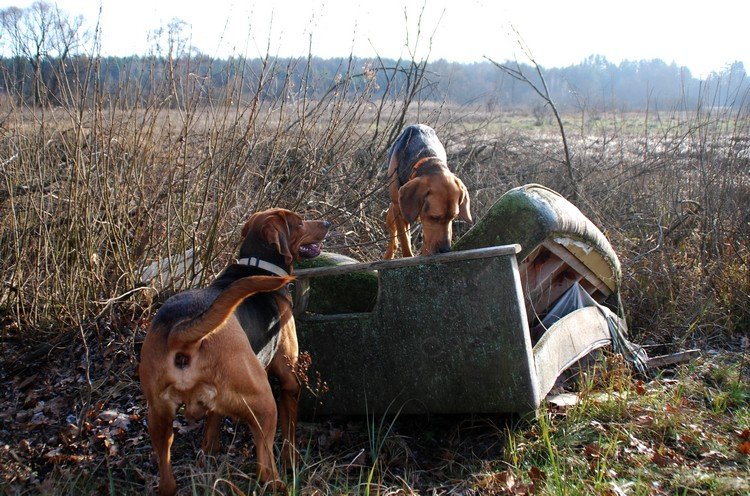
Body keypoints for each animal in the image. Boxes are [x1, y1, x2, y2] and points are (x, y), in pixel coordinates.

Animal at [140, 209, 330, 496]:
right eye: (298, 223)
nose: (327, 223)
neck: (258, 264)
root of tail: (181, 331)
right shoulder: (289, 382)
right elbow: (290, 433)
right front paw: (293, 462)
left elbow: (212, 426)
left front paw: (208, 454)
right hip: (264, 403)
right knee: (265, 469)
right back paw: (281, 485)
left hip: (158, 416)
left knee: (167, 482)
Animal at [384, 123, 472, 258]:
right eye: (434, 217)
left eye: (453, 217)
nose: (445, 250)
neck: (427, 159)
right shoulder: (398, 209)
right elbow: (405, 242)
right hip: (393, 211)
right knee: (393, 235)